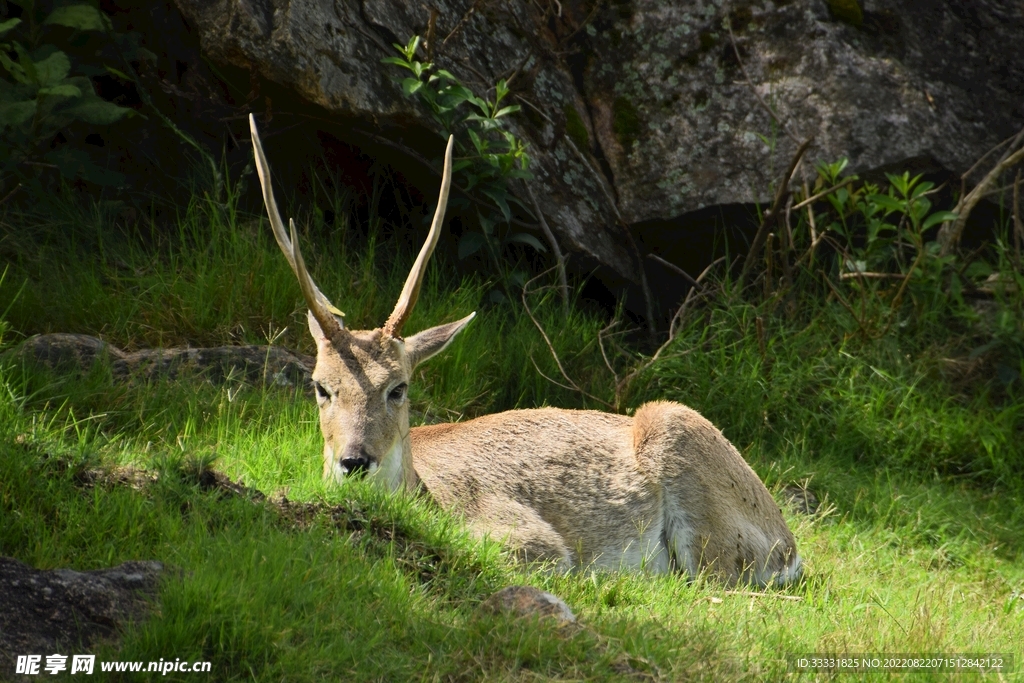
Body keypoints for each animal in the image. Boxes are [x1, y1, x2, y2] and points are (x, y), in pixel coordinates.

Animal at [249, 115, 801, 586]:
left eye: (399, 388)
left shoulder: (525, 535)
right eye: (320, 386)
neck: (430, 494)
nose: (355, 461)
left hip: (690, 465)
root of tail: (789, 546)